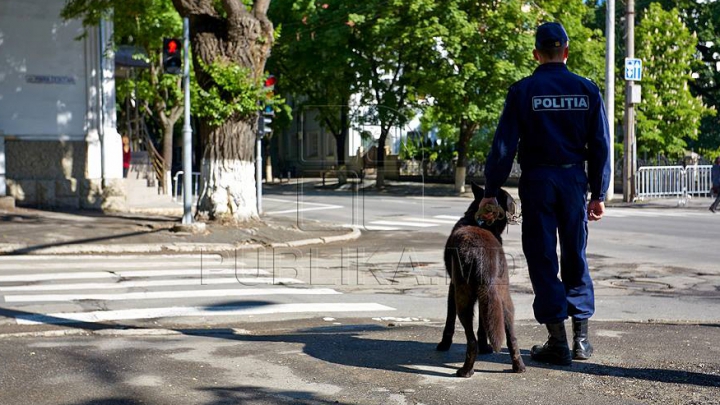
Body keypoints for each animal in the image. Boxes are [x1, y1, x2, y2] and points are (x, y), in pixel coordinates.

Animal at [436, 183, 524, 376]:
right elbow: (485, 325)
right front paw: (486, 347)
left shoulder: (452, 287)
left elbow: (449, 319)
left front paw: (444, 344)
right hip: (504, 299)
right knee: (512, 337)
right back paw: (519, 367)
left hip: (463, 300)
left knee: (471, 340)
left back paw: (466, 371)